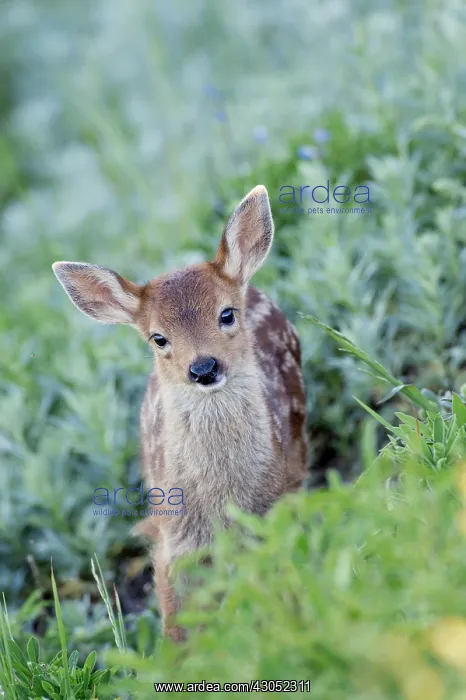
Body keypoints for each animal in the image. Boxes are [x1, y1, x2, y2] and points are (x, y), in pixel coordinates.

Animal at [52, 184, 309, 641]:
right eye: (158, 338)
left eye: (226, 314)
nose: (203, 367)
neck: (223, 502)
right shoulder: (176, 540)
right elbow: (178, 619)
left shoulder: (276, 505)